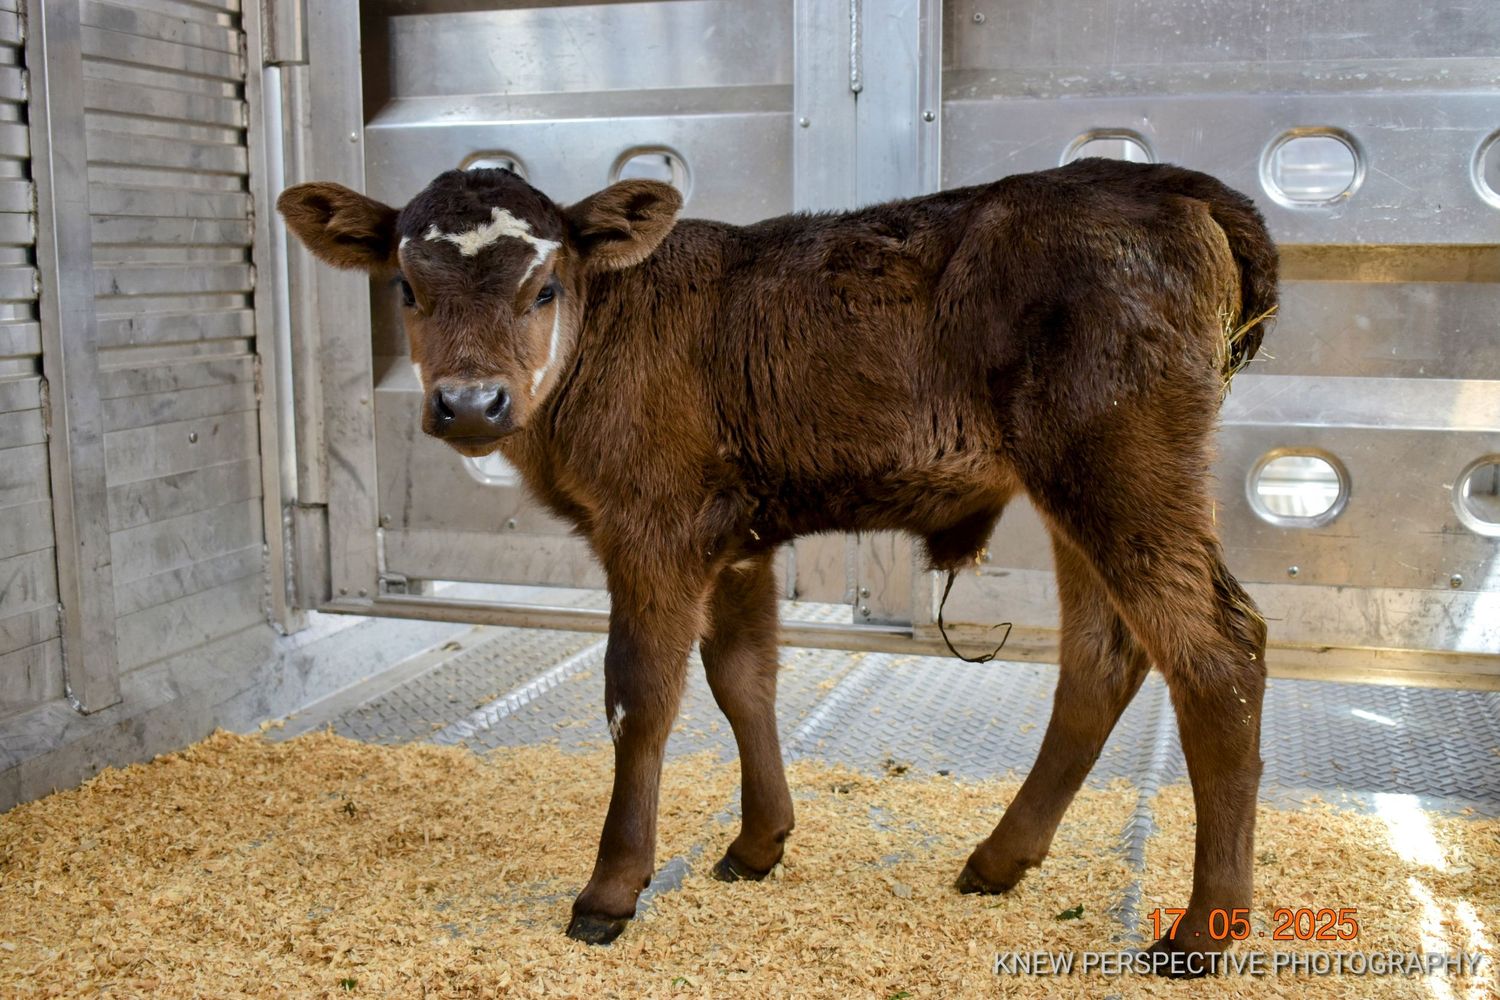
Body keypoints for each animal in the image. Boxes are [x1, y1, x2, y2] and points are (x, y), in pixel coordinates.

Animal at [278, 157, 1277, 968]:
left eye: (545, 288)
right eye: (407, 287)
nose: (470, 402)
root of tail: (1171, 185)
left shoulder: (652, 523)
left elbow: (640, 697)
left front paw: (611, 888)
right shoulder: (733, 539)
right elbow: (742, 677)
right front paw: (759, 844)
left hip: (1117, 459)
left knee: (1218, 652)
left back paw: (1203, 931)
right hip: (1081, 479)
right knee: (1103, 657)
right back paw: (998, 861)